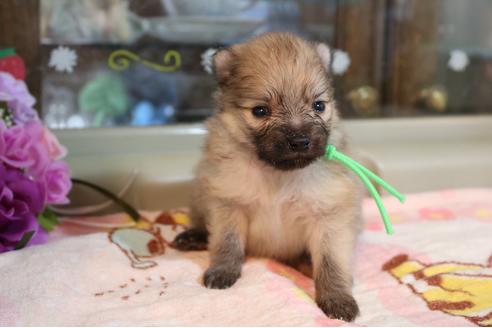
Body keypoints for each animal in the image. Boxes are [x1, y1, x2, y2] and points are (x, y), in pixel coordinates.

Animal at [172, 32, 362, 320]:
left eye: (319, 106)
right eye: (260, 111)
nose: (300, 141)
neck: (278, 174)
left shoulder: (329, 215)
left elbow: (331, 261)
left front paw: (337, 298)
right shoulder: (228, 202)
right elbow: (227, 242)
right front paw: (223, 271)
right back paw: (193, 236)